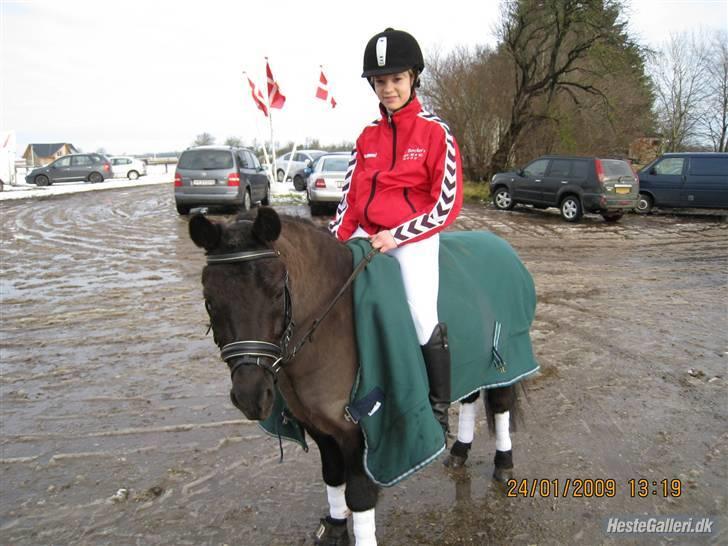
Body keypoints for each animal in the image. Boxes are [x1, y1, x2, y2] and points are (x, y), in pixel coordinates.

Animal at [188, 205, 516, 544]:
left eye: (278, 292)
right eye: (209, 300)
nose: (250, 396)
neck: (329, 324)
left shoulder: (359, 431)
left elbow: (359, 494)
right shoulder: (318, 426)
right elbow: (332, 476)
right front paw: (334, 526)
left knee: (501, 404)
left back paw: (503, 464)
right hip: (474, 368)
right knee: (471, 399)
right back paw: (460, 452)